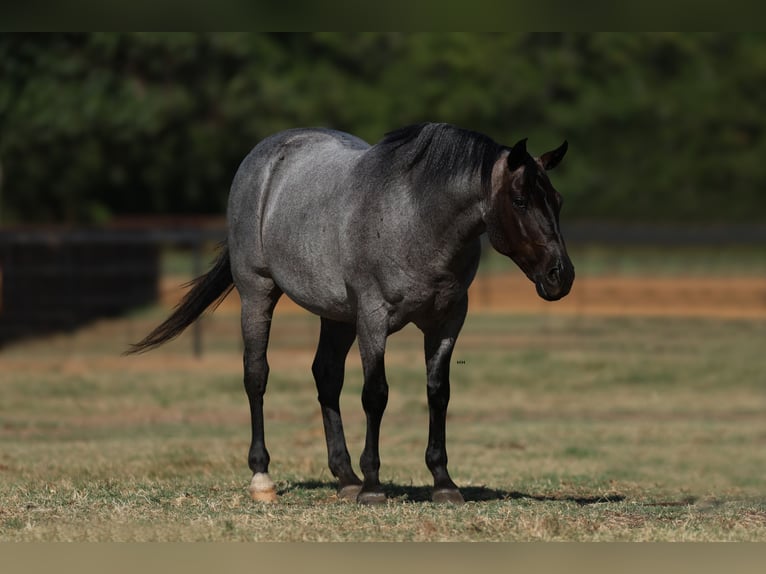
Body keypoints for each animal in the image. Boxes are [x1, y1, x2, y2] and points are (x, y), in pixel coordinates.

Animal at [129, 124, 576, 506]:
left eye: (557, 201)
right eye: (520, 201)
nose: (562, 276)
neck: (417, 218)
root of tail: (265, 155)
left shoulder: (447, 321)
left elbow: (438, 393)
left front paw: (443, 483)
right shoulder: (373, 319)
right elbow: (375, 394)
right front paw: (374, 486)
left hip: (337, 316)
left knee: (326, 376)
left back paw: (345, 478)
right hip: (257, 293)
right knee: (256, 375)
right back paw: (263, 479)